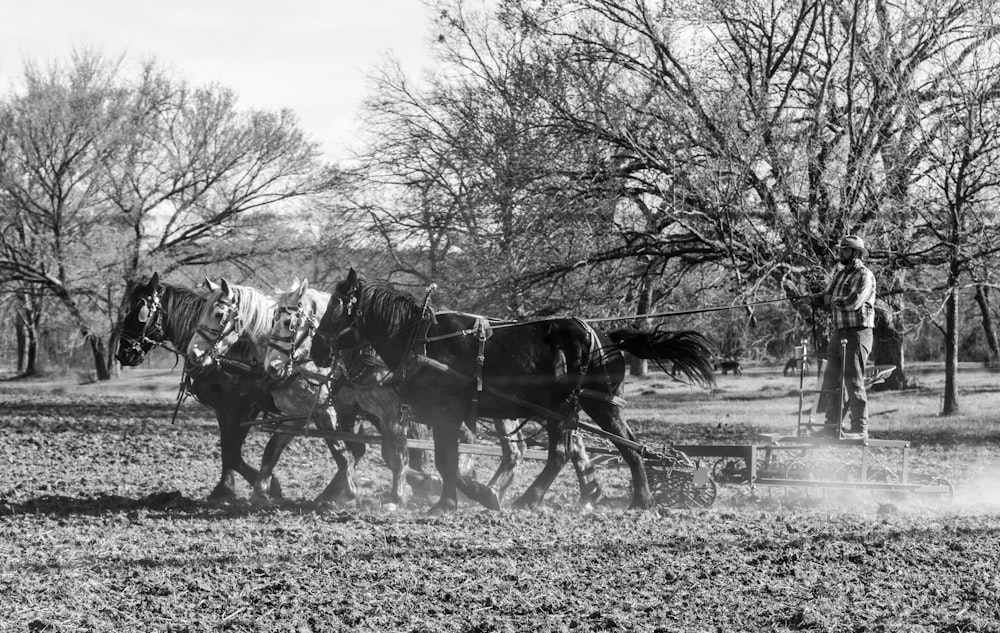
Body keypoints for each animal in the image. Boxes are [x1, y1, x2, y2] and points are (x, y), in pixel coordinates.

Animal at [115, 272, 280, 498]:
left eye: (141, 311)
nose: (122, 353)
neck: (231, 353)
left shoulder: (245, 407)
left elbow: (232, 450)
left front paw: (268, 486)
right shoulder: (223, 408)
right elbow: (227, 449)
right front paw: (226, 488)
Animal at [308, 268, 716, 512]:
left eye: (336, 306)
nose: (316, 351)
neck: (422, 339)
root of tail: (606, 338)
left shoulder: (446, 414)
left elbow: (445, 461)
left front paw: (464, 499)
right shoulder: (444, 418)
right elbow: (446, 460)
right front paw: (463, 498)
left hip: (591, 407)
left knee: (614, 448)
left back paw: (635, 500)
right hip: (571, 410)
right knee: (576, 452)